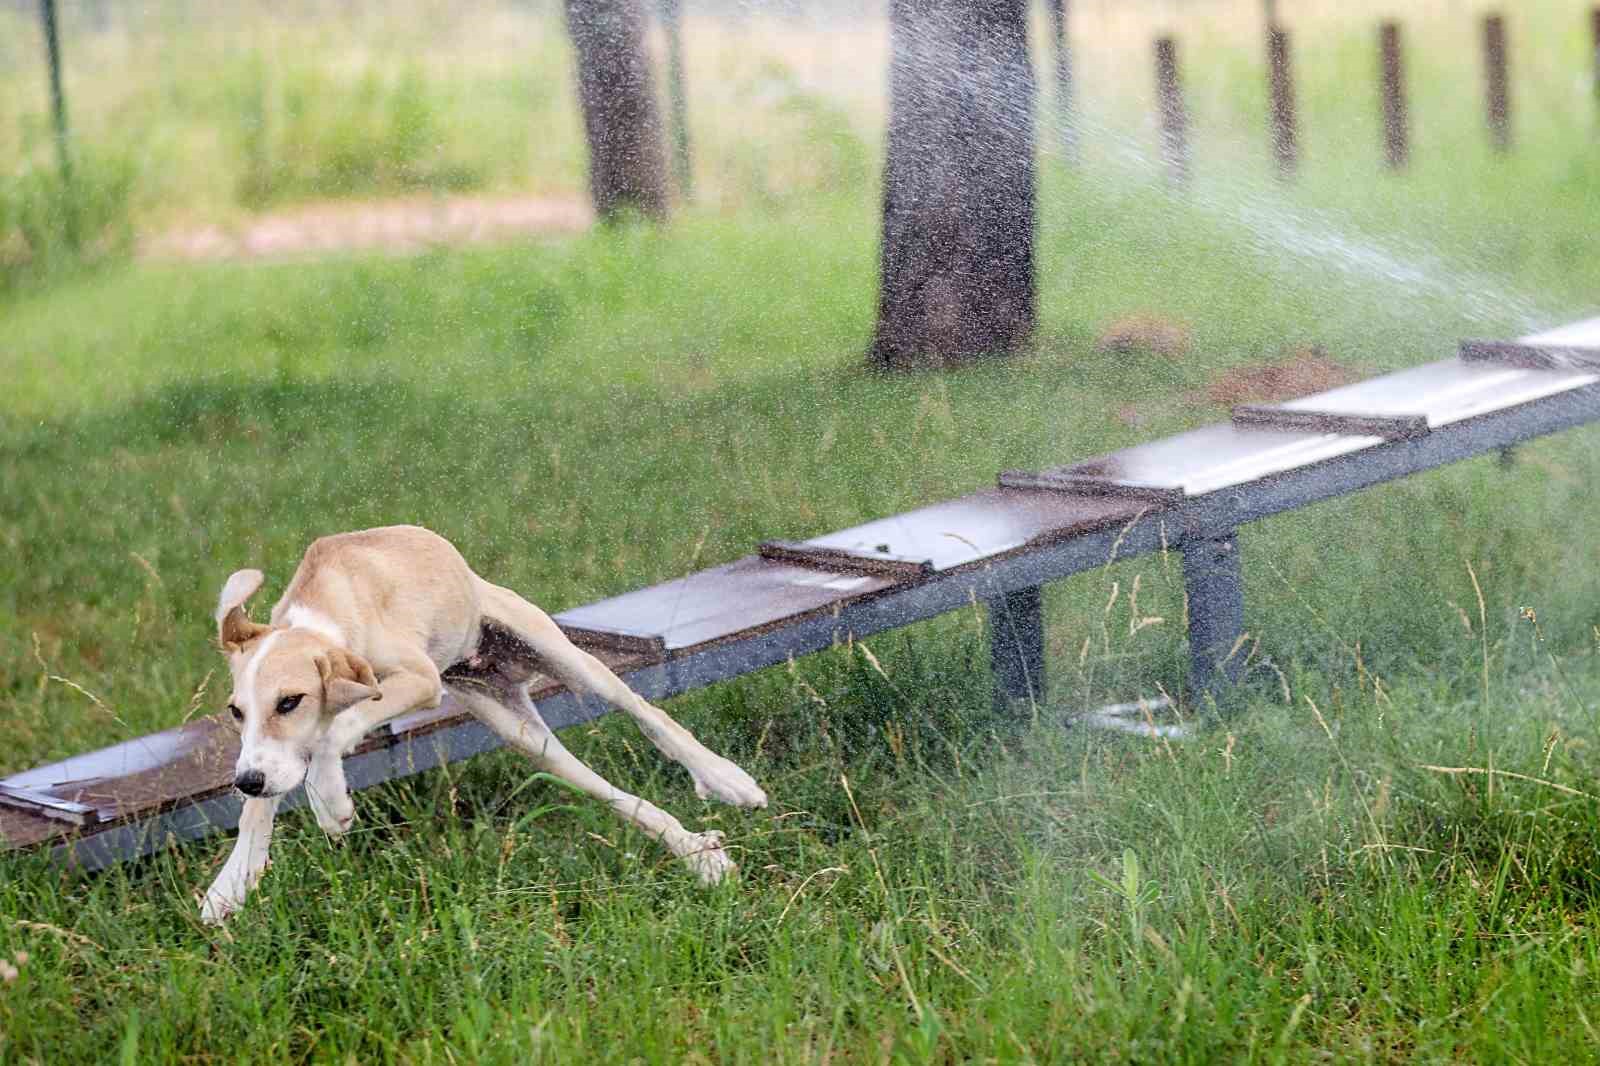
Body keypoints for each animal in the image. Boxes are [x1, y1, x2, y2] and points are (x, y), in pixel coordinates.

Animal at [201, 521, 768, 921]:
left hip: (565, 658)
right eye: (236, 711)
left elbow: (335, 731)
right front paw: (230, 884)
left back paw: (727, 780)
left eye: (290, 701)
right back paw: (701, 856)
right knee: (617, 797)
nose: (245, 781)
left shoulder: (418, 681)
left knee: (647, 714)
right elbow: (262, 803)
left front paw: (331, 802)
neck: (322, 615)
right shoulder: (270, 755)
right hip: (526, 737)